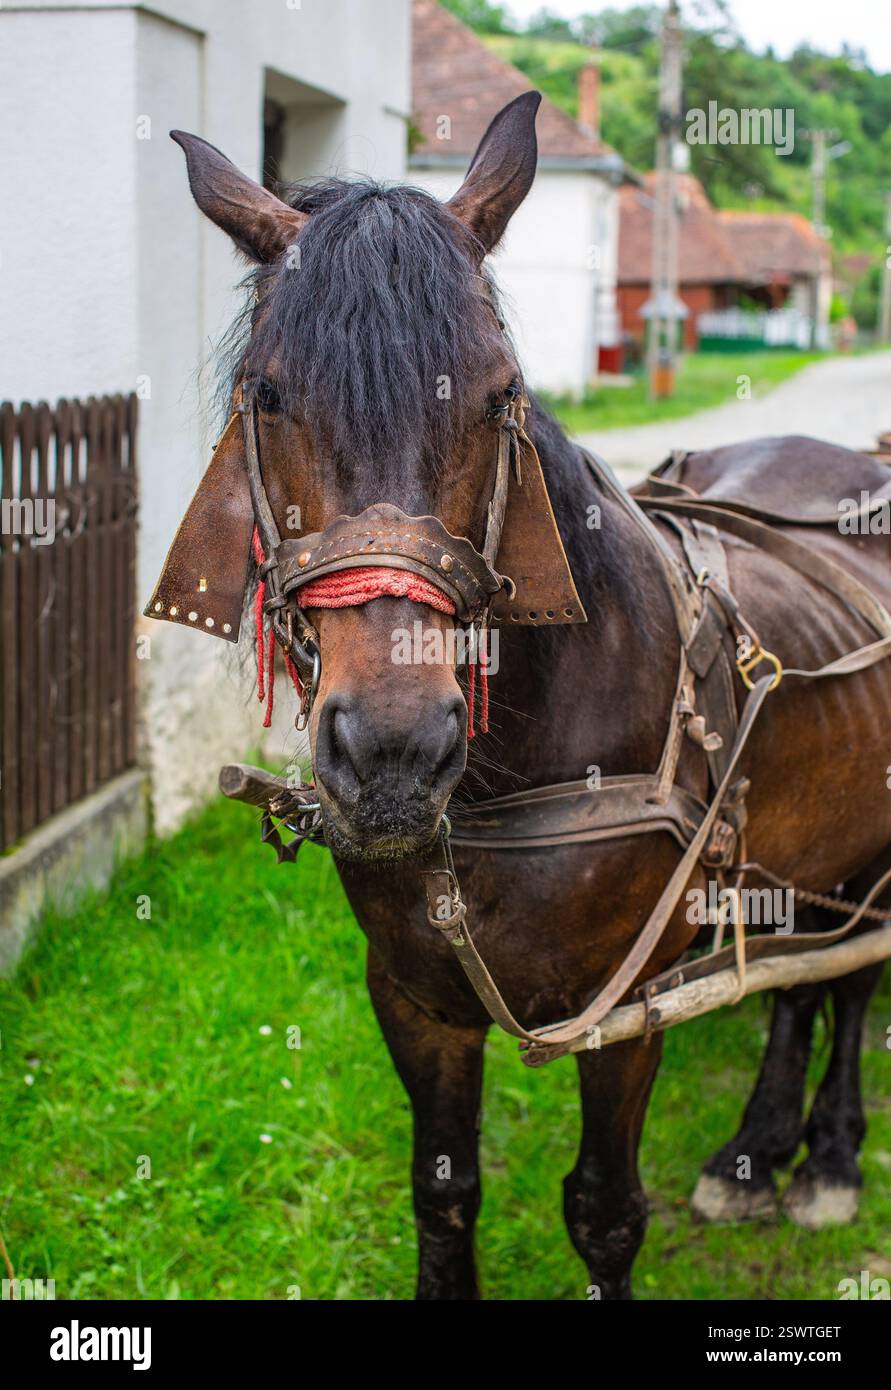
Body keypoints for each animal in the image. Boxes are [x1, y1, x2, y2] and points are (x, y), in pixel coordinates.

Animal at [156, 93, 891, 1299]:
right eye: (265, 394)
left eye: (502, 395)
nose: (395, 754)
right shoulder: (413, 995)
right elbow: (444, 1192)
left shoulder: (628, 1004)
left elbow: (604, 1210)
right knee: (796, 977)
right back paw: (757, 1148)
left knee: (846, 979)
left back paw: (825, 1153)